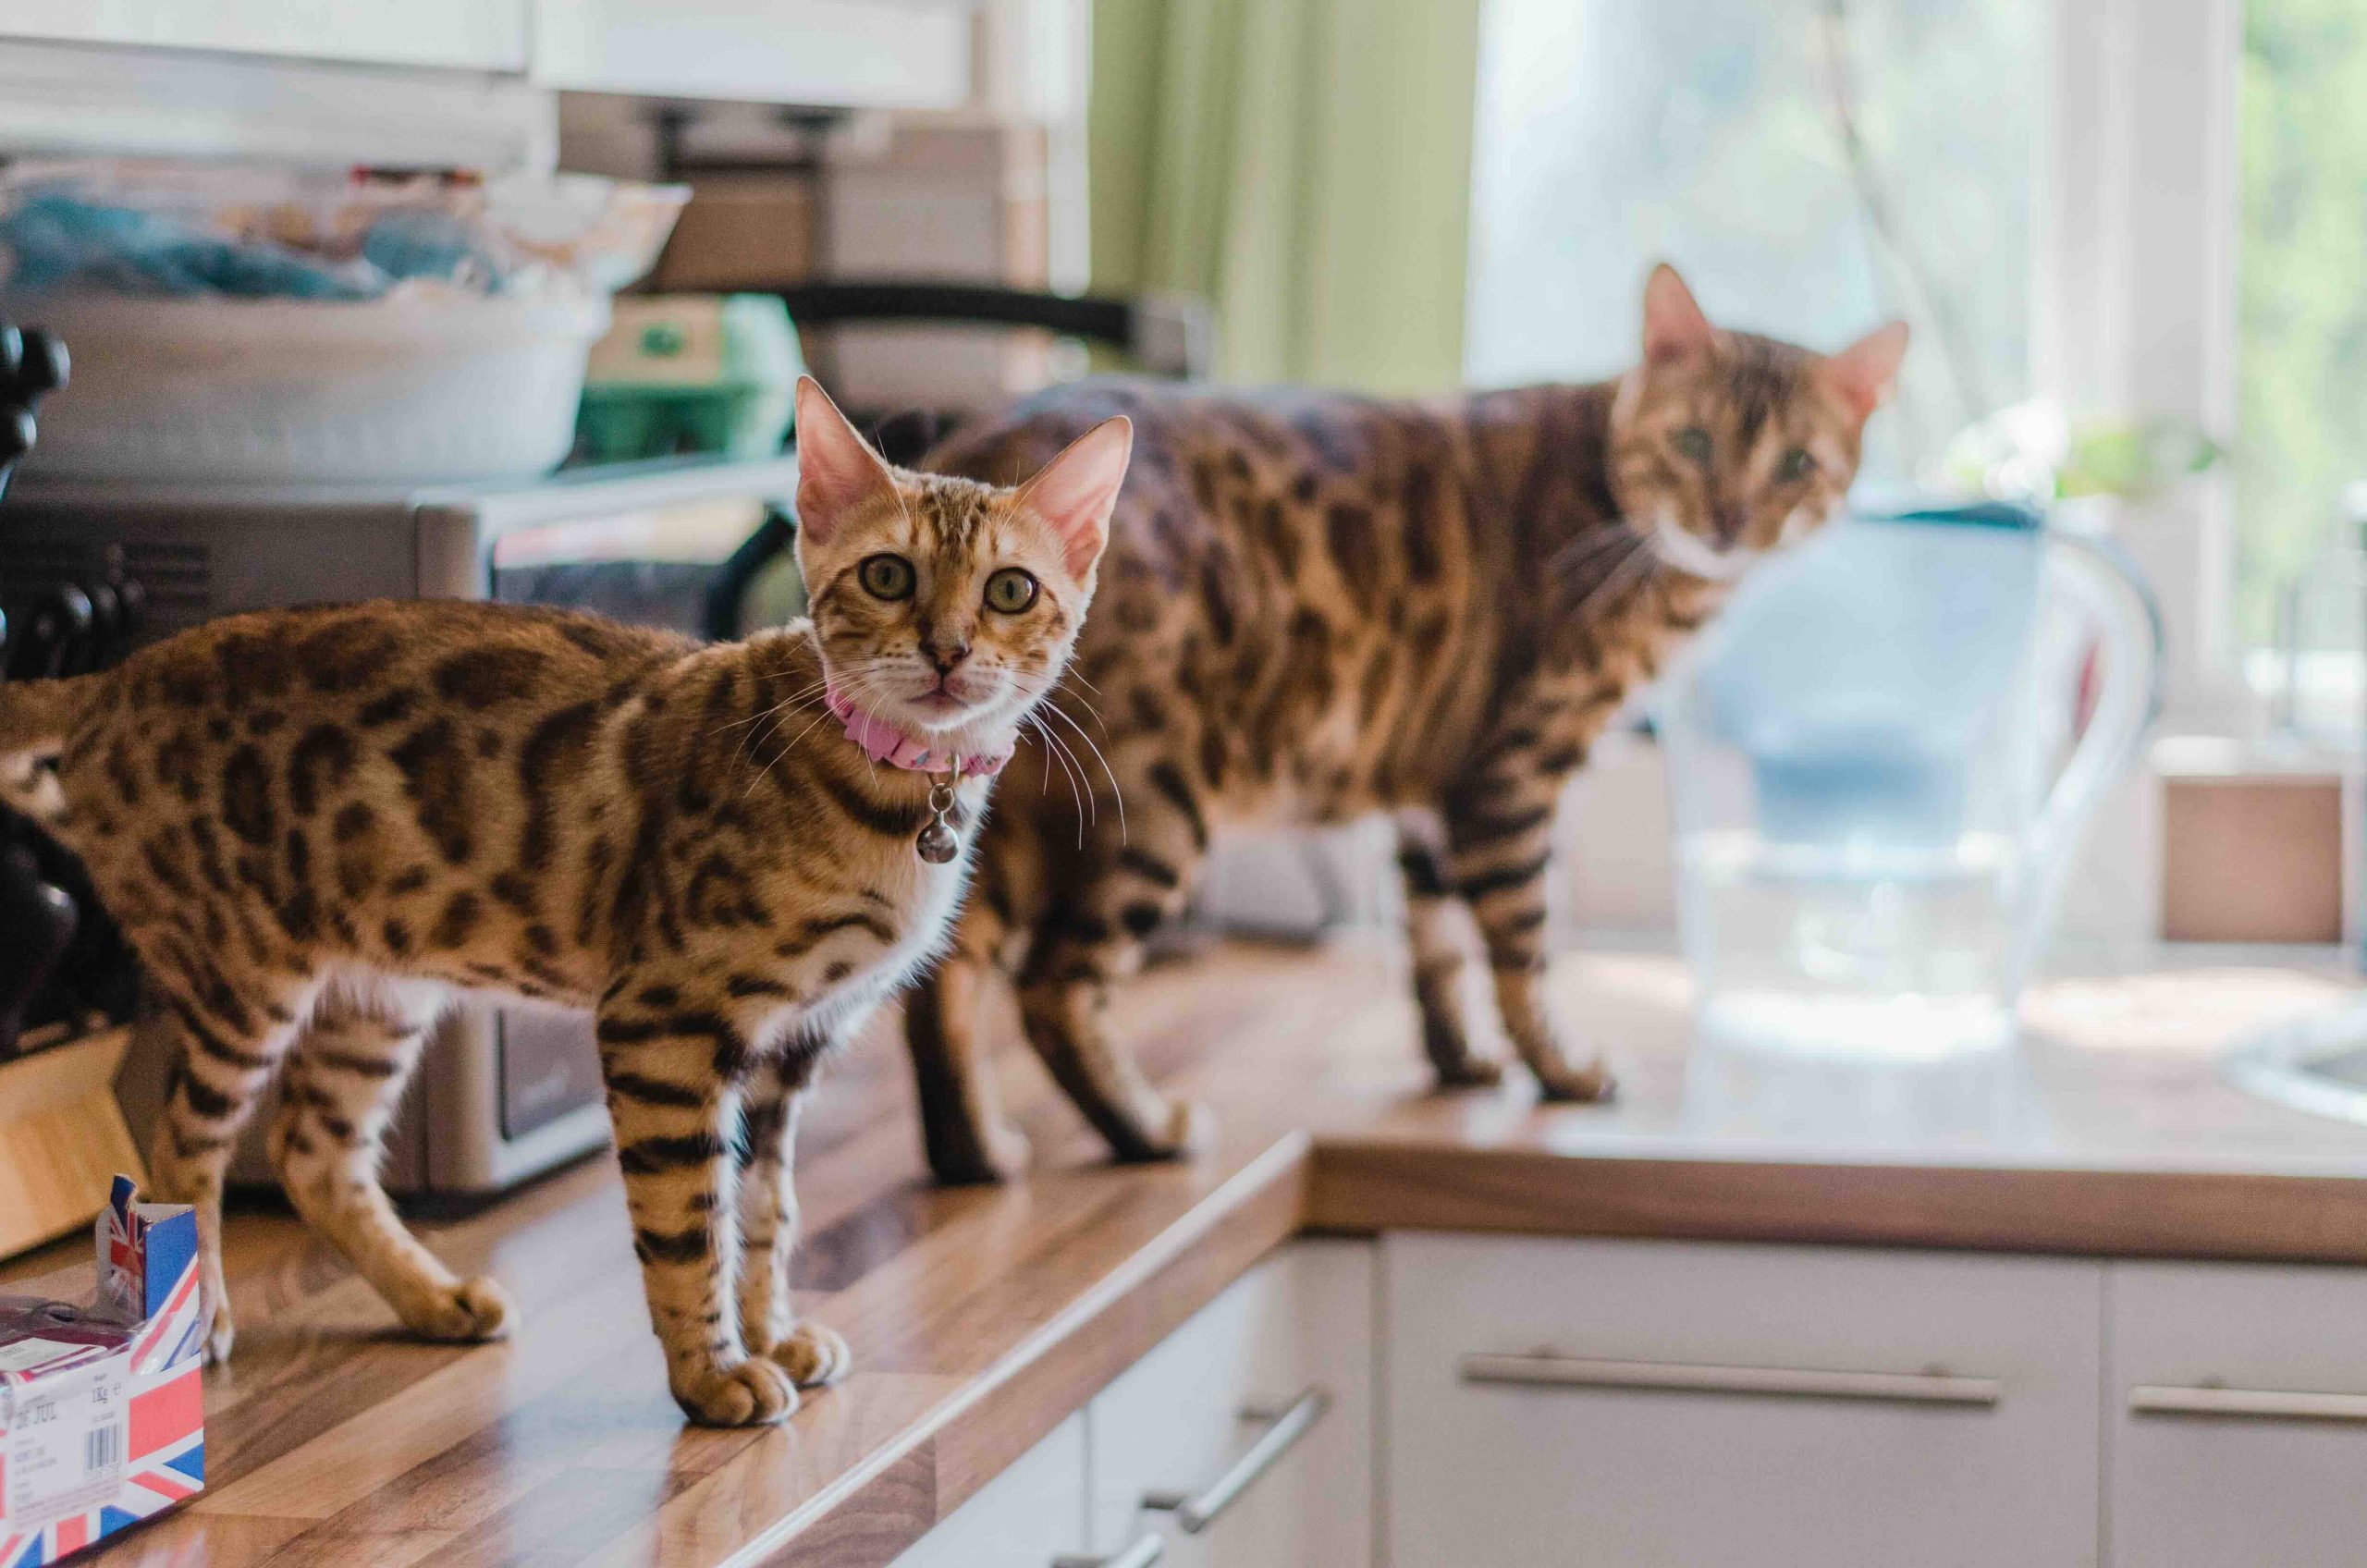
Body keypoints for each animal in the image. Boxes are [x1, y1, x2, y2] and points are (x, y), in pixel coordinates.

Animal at [0, 374, 1126, 1430]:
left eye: (1012, 590)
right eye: (888, 575)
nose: (946, 651)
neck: (893, 797)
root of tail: (114, 683)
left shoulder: (792, 1047)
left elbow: (766, 1214)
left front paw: (771, 1333)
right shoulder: (665, 1020)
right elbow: (689, 1222)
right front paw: (713, 1375)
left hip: (379, 986)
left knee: (314, 1151)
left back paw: (434, 1298)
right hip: (241, 977)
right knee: (179, 1149)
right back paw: (201, 1318)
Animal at [894, 263, 1912, 1183]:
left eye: (1795, 464)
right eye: (1695, 442)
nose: (1731, 519)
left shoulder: (1434, 784)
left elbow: (1437, 942)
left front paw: (1461, 1060)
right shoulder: (1515, 770)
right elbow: (1522, 942)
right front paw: (1560, 1069)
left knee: (944, 968)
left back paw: (972, 1152)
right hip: (1151, 799)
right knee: (1052, 985)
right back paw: (1145, 1129)